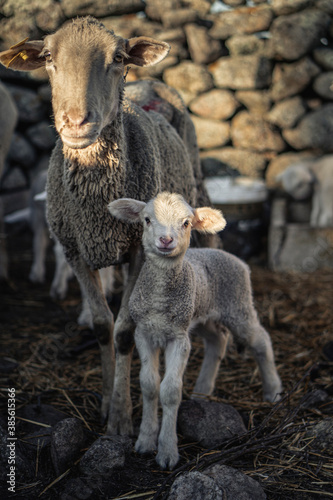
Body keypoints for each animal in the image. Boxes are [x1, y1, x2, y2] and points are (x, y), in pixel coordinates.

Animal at [0, 16, 214, 434]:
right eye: (47, 57)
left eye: (117, 58)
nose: (75, 122)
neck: (97, 201)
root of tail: (153, 83)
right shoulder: (73, 247)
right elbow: (103, 325)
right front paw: (103, 400)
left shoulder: (138, 253)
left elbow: (125, 331)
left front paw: (120, 415)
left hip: (195, 175)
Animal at [108, 190, 280, 468]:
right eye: (147, 219)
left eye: (187, 223)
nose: (165, 240)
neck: (160, 299)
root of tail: (236, 260)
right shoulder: (145, 332)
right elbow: (148, 385)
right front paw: (145, 441)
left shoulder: (179, 338)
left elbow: (170, 391)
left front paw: (167, 452)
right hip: (203, 316)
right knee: (218, 340)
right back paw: (202, 391)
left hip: (238, 305)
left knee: (261, 340)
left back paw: (273, 391)